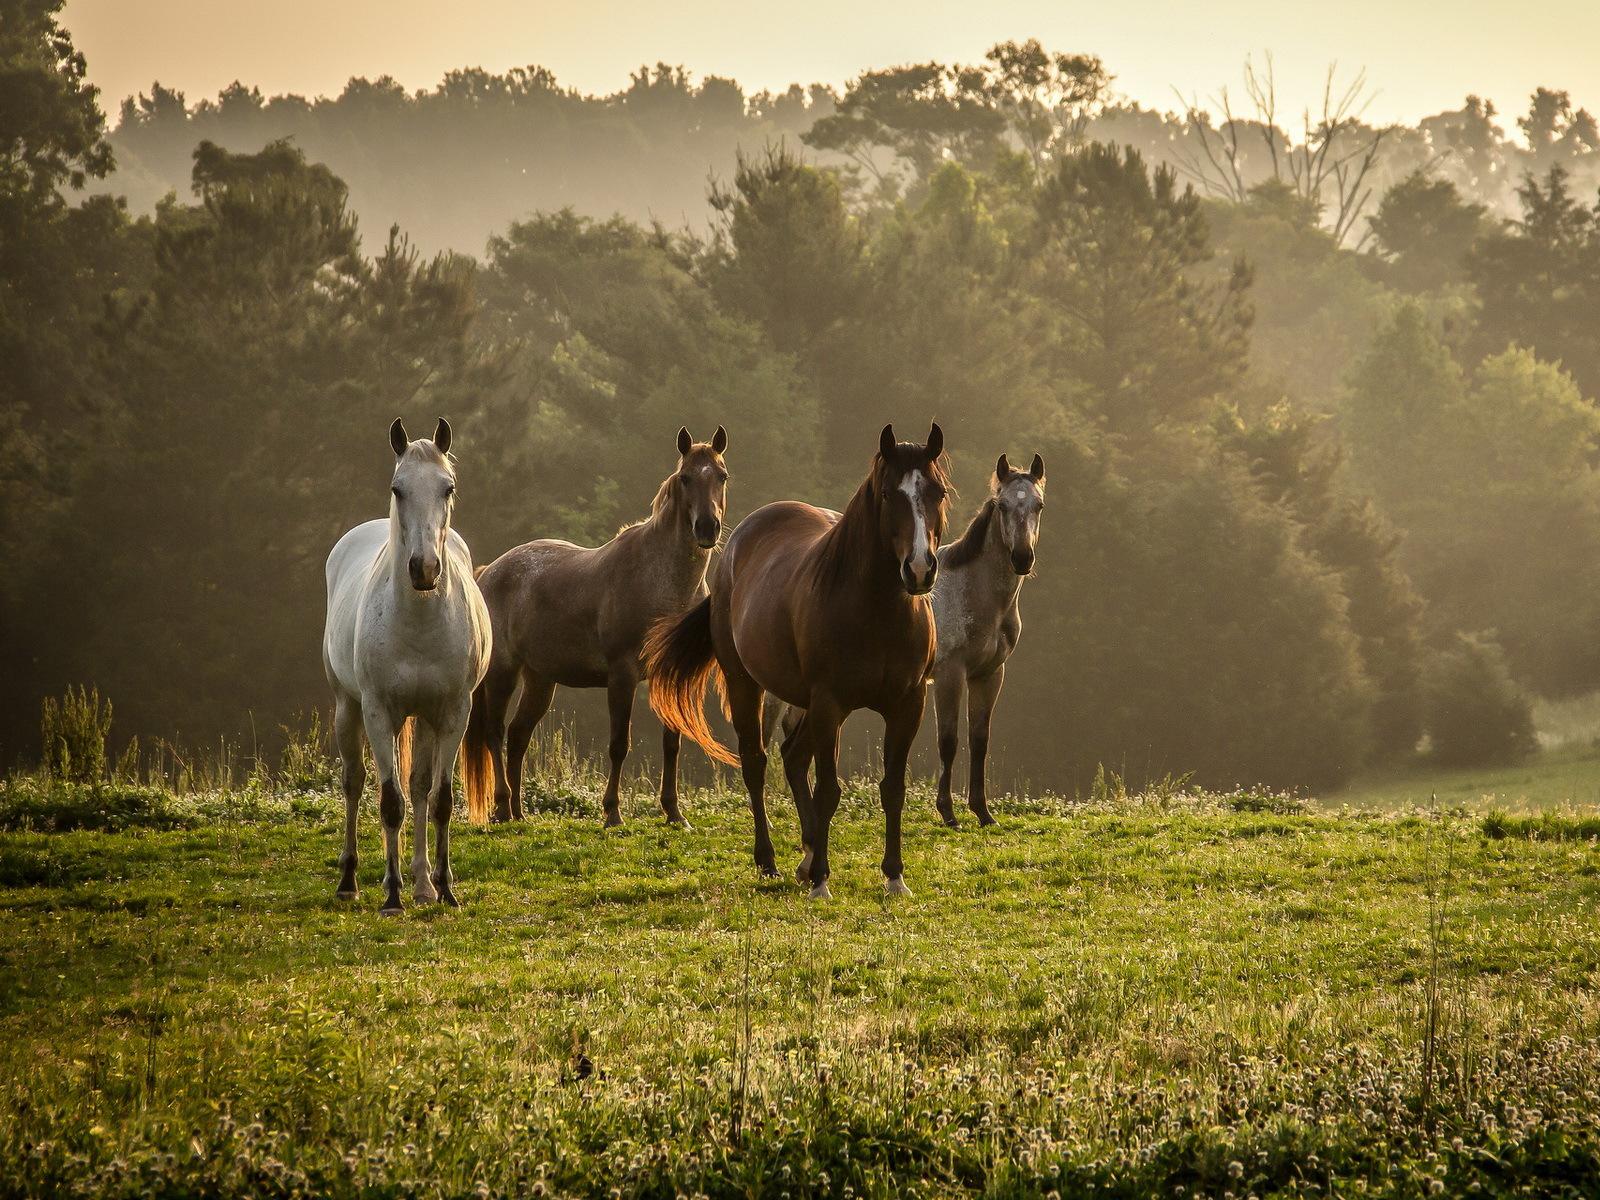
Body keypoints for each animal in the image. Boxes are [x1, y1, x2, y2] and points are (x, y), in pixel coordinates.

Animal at [315, 419, 483, 915]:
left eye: (448, 487)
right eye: (398, 488)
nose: (424, 569)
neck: (419, 624)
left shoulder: (453, 712)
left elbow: (440, 798)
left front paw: (446, 889)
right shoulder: (377, 711)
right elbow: (390, 801)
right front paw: (391, 895)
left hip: (424, 718)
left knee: (421, 787)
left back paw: (424, 884)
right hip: (348, 708)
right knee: (354, 784)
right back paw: (349, 881)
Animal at [646, 428, 947, 896]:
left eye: (937, 492)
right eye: (887, 494)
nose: (918, 570)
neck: (876, 612)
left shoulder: (907, 705)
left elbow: (892, 789)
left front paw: (894, 876)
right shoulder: (830, 703)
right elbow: (828, 791)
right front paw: (822, 879)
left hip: (804, 702)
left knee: (792, 756)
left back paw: (805, 857)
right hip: (747, 684)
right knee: (758, 762)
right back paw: (770, 860)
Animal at [928, 451, 1049, 825]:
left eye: (1039, 505)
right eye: (1002, 505)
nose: (1022, 558)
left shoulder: (989, 674)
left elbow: (979, 740)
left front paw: (982, 812)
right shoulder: (950, 676)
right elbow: (948, 740)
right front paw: (948, 813)